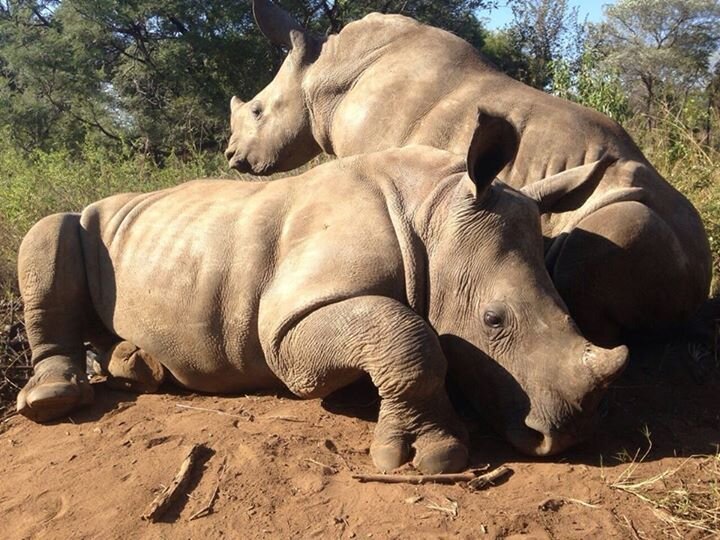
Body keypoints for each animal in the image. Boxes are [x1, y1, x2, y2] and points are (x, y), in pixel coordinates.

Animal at [17, 125, 626, 473]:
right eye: (493, 320)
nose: (569, 433)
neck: (433, 213)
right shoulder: (289, 321)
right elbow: (408, 336)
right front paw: (433, 457)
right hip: (86, 219)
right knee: (47, 232)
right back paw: (50, 402)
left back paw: (140, 368)